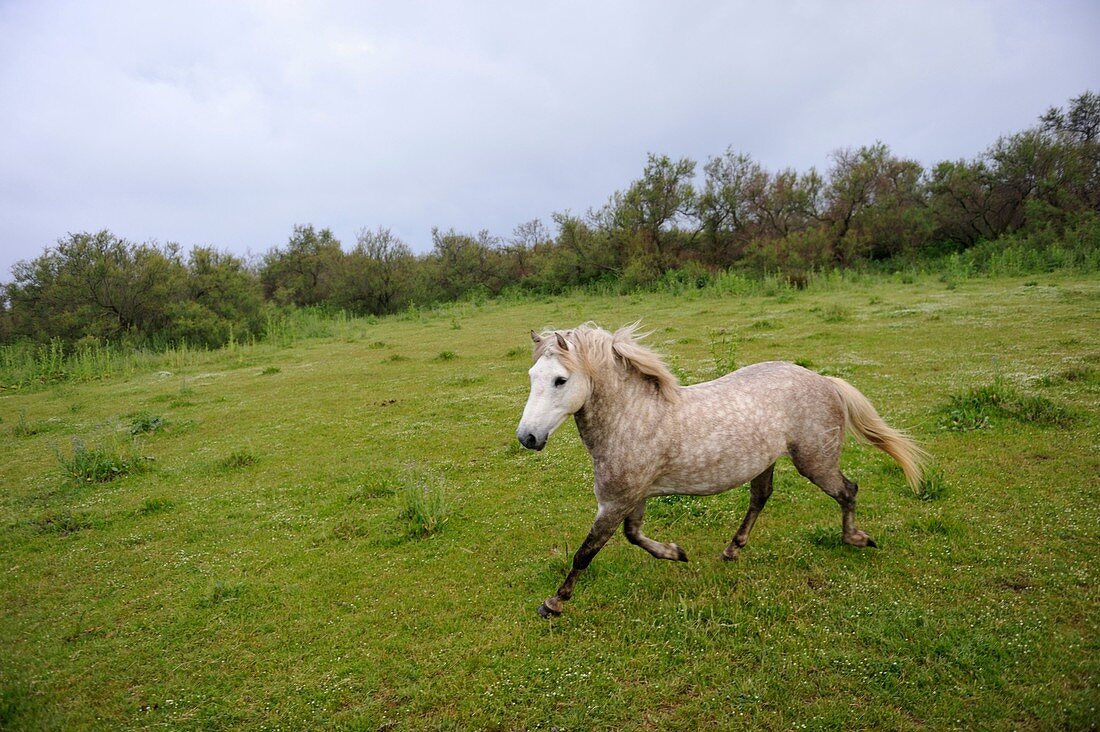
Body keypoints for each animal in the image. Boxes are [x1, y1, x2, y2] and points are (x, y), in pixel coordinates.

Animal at [514, 323, 928, 612]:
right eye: (533, 377)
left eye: (560, 380)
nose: (527, 437)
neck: (634, 416)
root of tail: (824, 380)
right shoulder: (633, 496)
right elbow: (634, 536)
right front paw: (676, 553)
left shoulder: (615, 502)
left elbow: (586, 551)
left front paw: (554, 602)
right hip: (767, 462)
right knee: (761, 498)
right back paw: (732, 550)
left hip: (816, 461)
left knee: (847, 490)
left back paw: (856, 538)